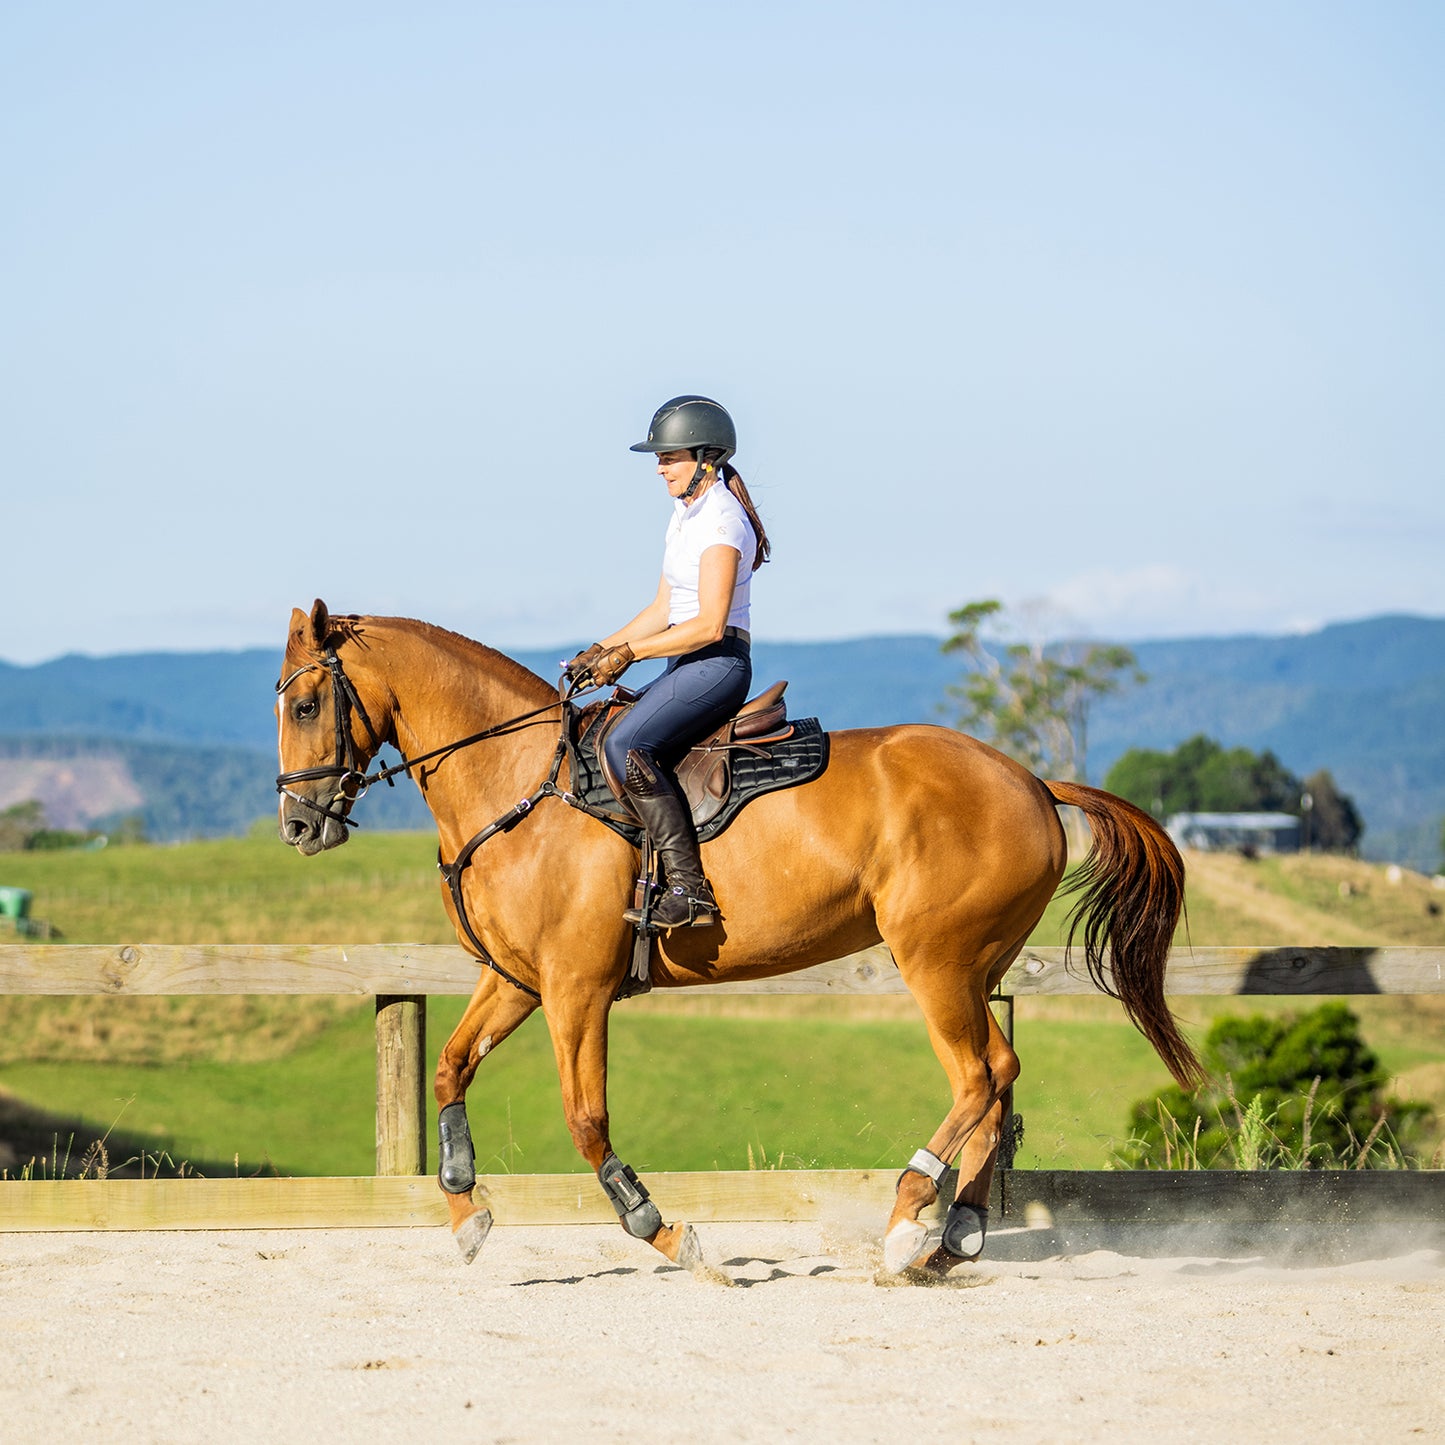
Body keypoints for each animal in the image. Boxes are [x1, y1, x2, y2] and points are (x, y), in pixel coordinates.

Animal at [275, 598, 1202, 1277]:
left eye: (309, 702)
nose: (296, 825)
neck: (519, 786)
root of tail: (1031, 780)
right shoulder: (519, 979)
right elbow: (448, 1069)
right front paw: (468, 1214)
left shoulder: (576, 987)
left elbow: (585, 1117)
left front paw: (662, 1229)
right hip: (975, 963)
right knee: (999, 1076)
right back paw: (956, 1232)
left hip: (934, 960)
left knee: (977, 1077)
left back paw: (908, 1221)